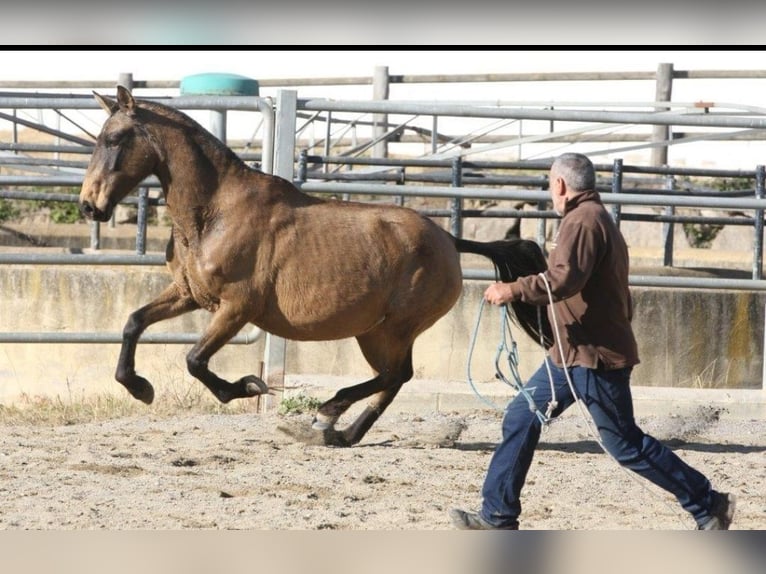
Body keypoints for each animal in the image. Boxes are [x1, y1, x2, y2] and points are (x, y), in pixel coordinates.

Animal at [79, 86, 552, 447]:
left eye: (115, 139)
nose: (88, 205)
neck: (214, 214)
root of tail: (449, 240)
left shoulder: (237, 308)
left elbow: (195, 360)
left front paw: (246, 387)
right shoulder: (190, 295)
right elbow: (133, 322)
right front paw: (139, 387)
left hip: (395, 327)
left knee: (395, 374)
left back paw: (327, 415)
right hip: (374, 331)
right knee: (394, 378)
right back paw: (339, 433)